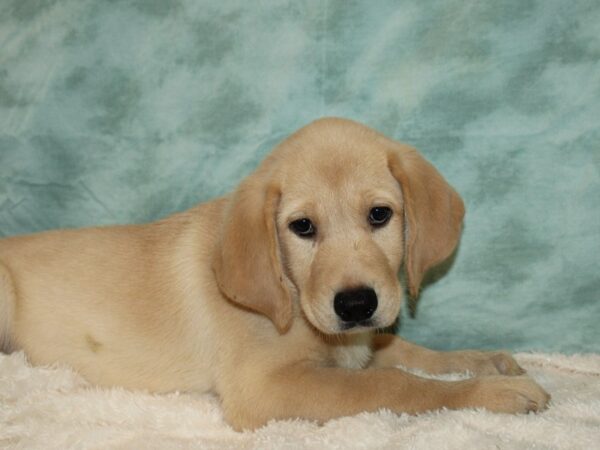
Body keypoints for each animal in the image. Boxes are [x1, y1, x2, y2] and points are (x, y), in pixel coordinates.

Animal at [0, 118, 548, 430]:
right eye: (301, 227)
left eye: (380, 215)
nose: (355, 304)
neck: (292, 296)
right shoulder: (266, 386)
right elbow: (394, 385)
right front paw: (489, 394)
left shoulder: (360, 342)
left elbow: (412, 354)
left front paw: (485, 362)